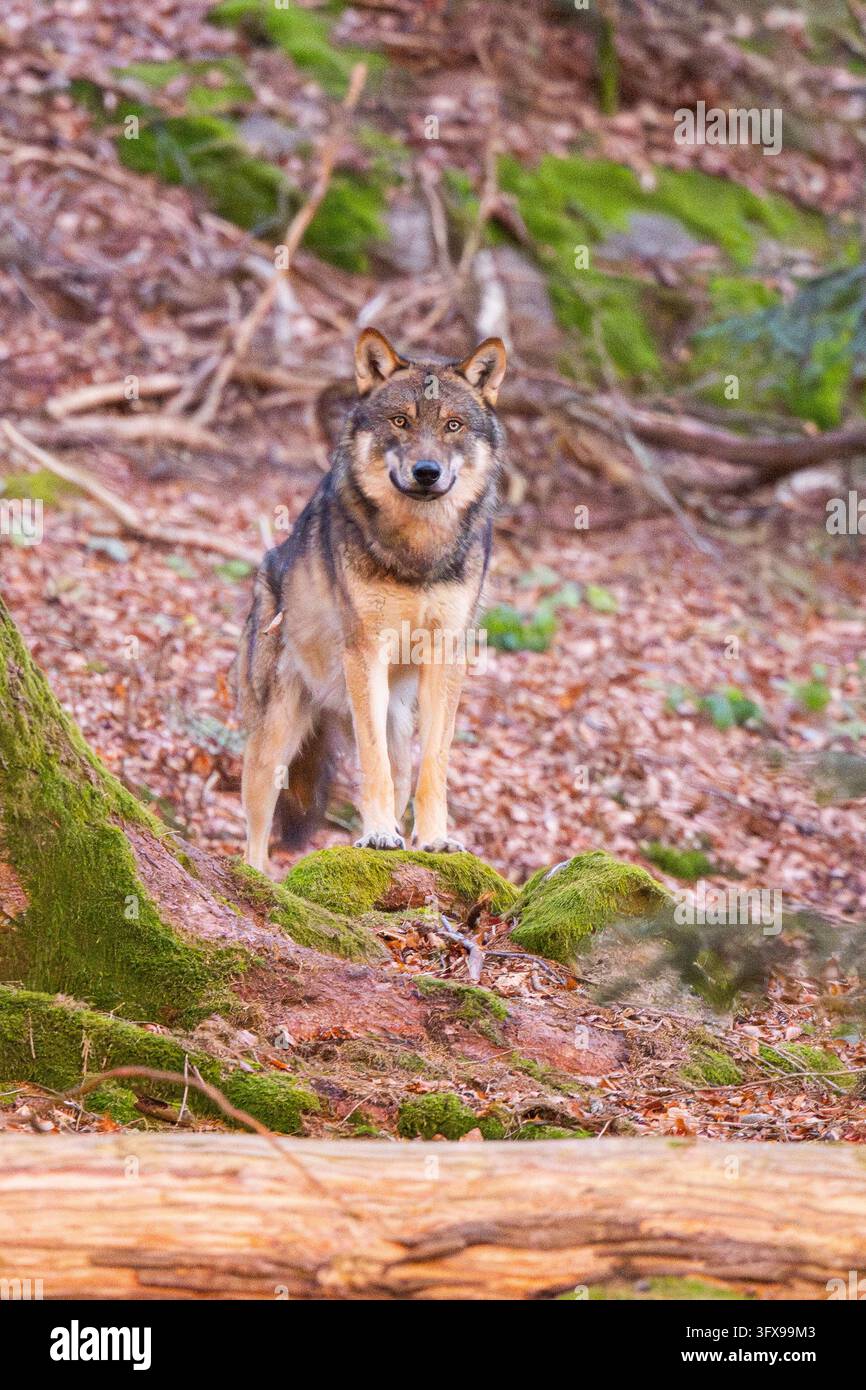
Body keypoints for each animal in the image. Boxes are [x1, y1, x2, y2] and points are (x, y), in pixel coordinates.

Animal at [237, 327, 506, 872]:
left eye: (453, 425)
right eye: (401, 421)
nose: (426, 471)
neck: (418, 552)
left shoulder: (447, 655)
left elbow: (436, 764)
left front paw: (434, 839)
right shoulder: (366, 650)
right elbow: (371, 765)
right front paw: (378, 834)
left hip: (393, 719)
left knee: (400, 771)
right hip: (273, 742)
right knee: (255, 832)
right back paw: (257, 878)